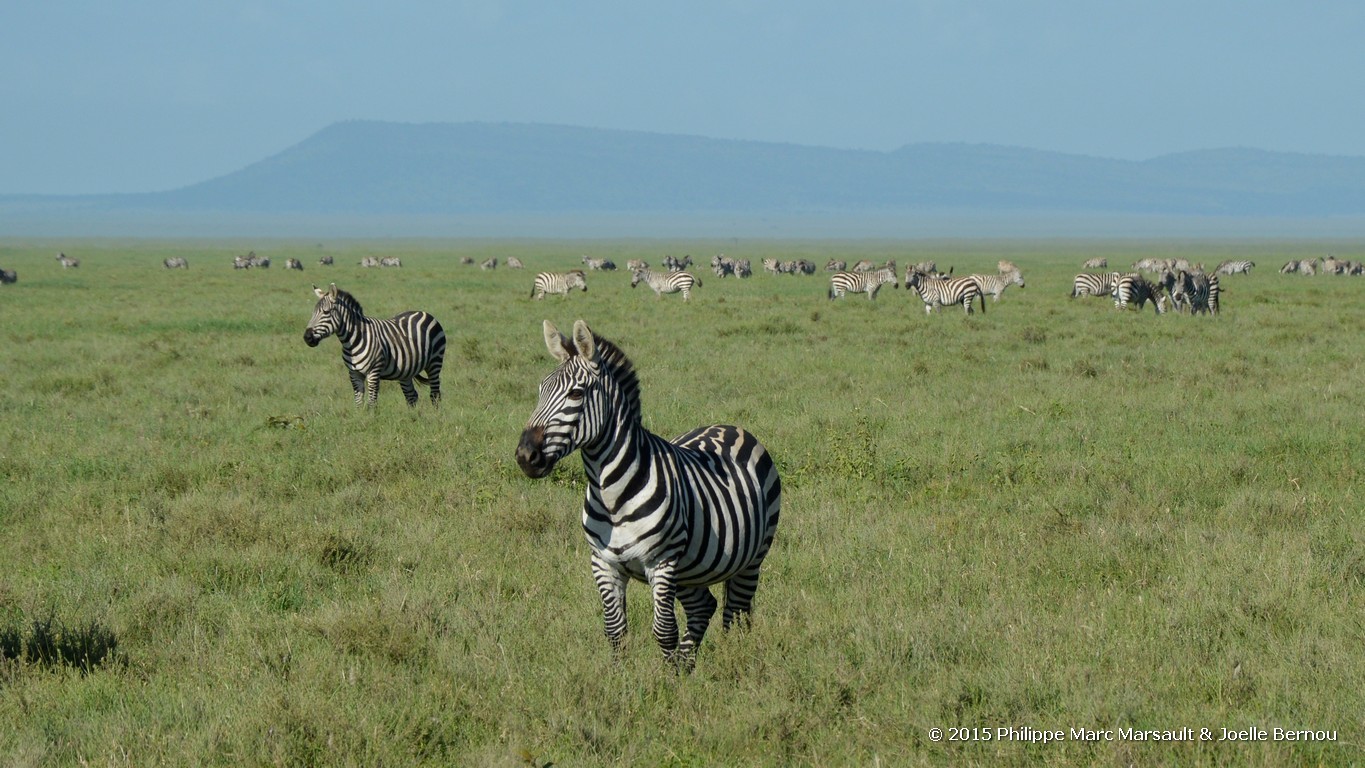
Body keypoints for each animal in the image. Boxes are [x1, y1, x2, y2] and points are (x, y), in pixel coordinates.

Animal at [301, 283, 444, 409]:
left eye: (326, 312)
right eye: (313, 313)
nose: (307, 338)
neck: (352, 340)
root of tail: (423, 312)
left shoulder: (373, 372)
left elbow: (371, 403)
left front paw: (371, 420)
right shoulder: (354, 373)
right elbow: (358, 402)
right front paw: (359, 419)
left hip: (435, 363)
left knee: (435, 394)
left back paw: (435, 416)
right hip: (406, 370)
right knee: (411, 396)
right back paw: (412, 417)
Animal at [515, 319, 786, 668]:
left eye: (576, 393)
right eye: (540, 391)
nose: (525, 456)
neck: (612, 496)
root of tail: (731, 427)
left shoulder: (662, 562)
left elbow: (664, 630)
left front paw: (667, 681)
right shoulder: (603, 564)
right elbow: (615, 631)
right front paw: (625, 679)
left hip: (751, 559)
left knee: (736, 617)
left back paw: (730, 662)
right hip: (690, 569)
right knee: (704, 607)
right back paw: (687, 667)